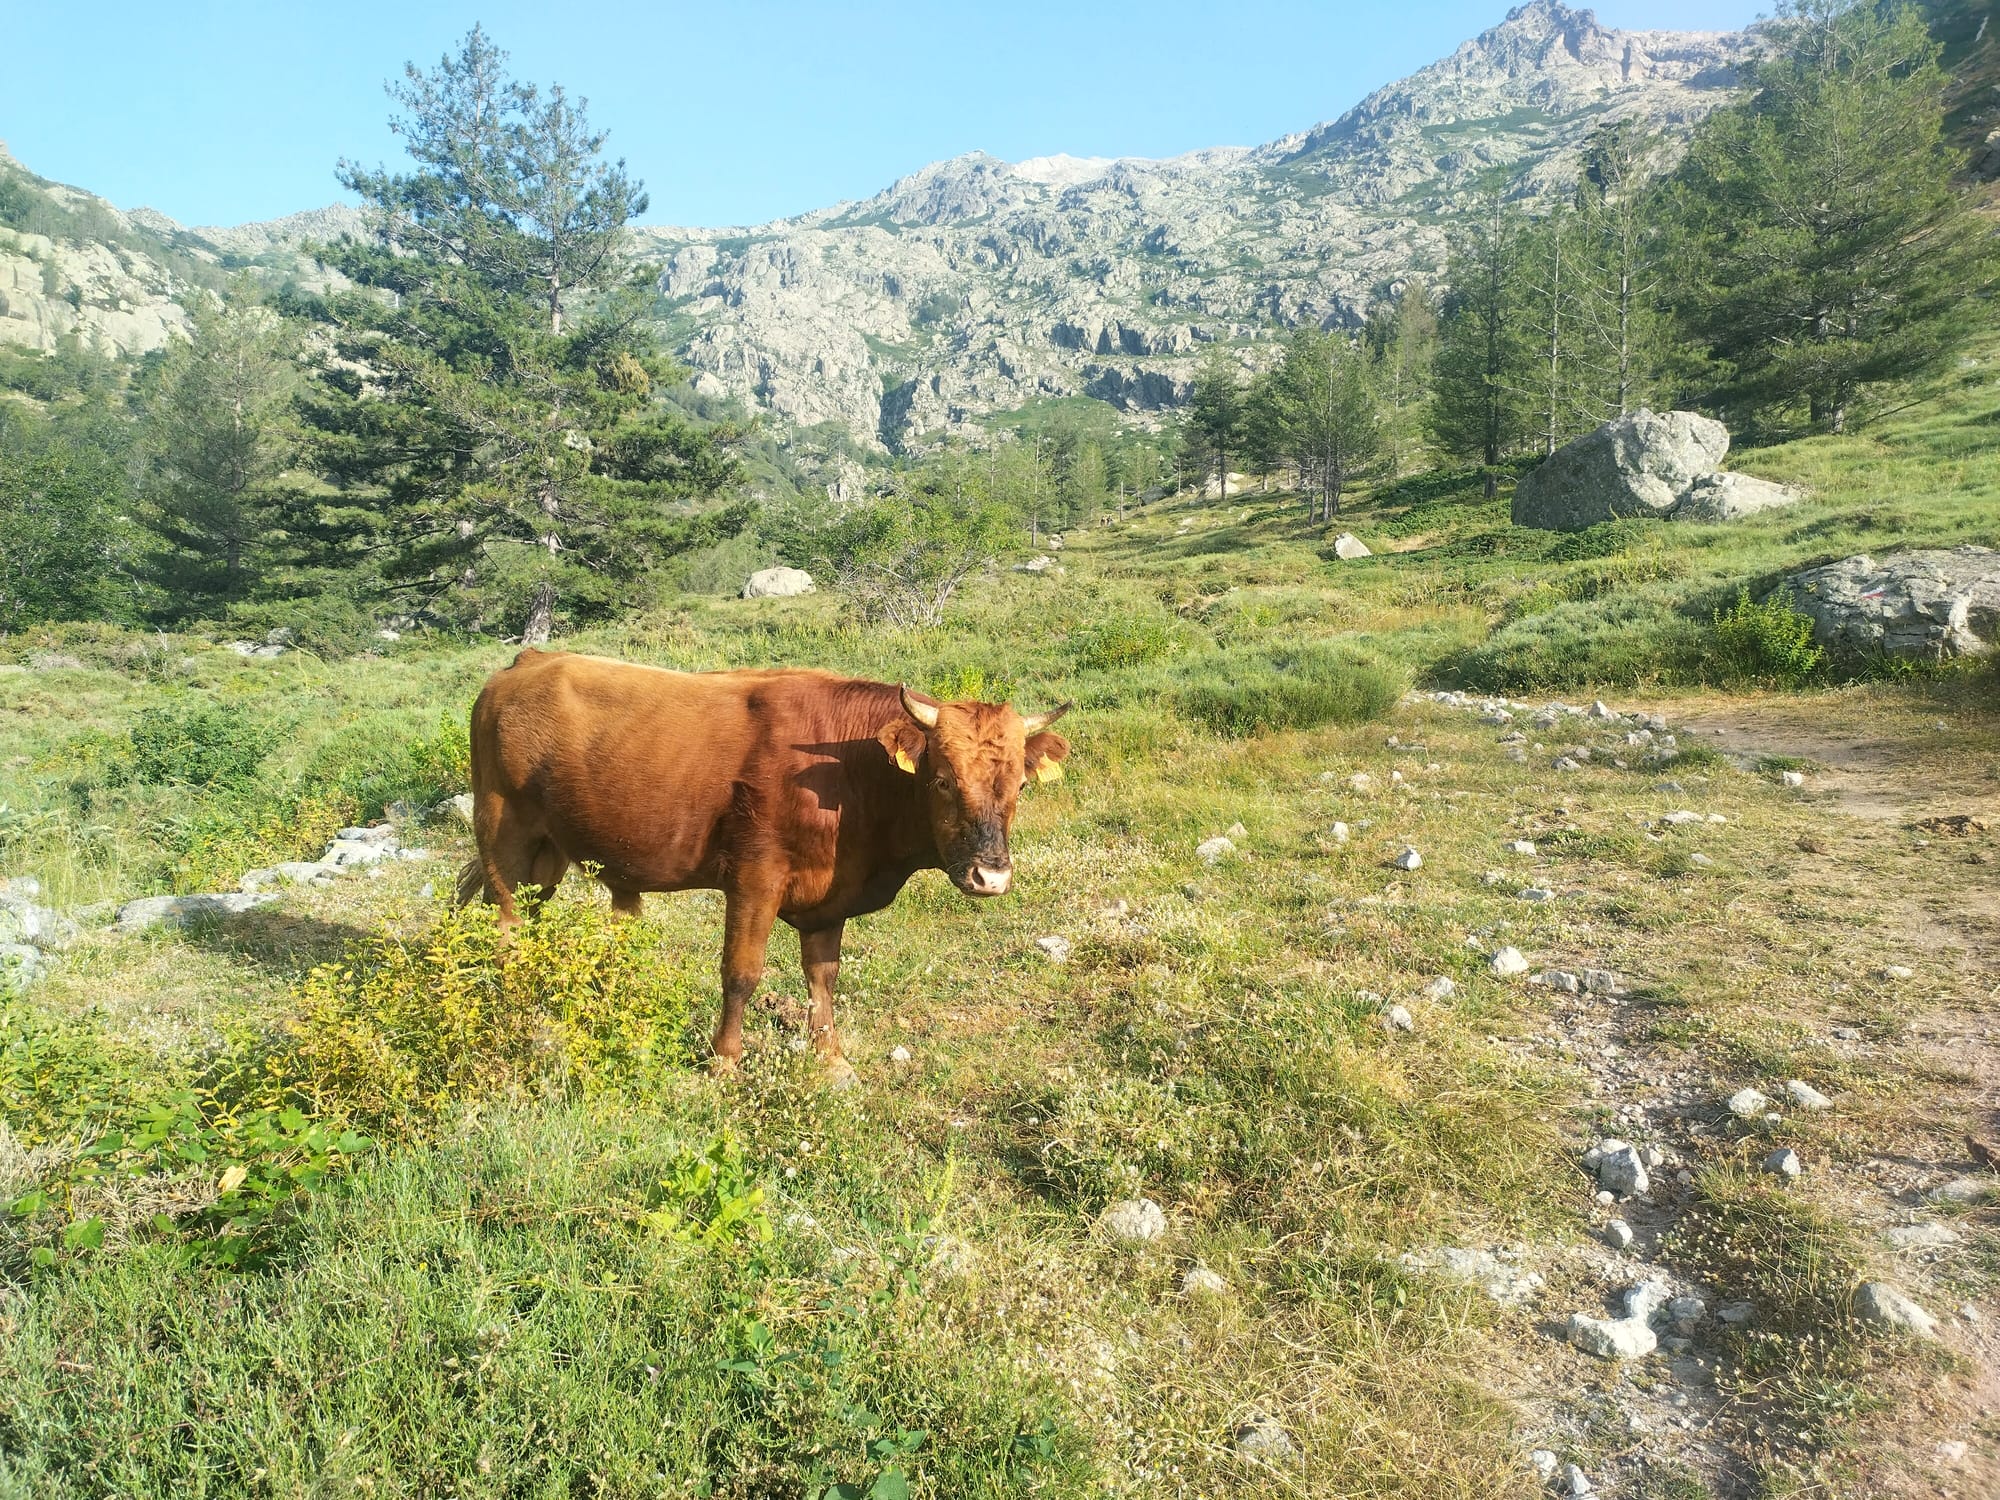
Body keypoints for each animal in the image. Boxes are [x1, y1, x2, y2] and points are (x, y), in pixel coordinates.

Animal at [458, 648, 1072, 1080]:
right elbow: (741, 973)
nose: (991, 877)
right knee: (506, 926)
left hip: (548, 854)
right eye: (943, 780)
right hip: (504, 835)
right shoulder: (755, 877)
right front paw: (724, 1062)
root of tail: (528, 661)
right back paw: (516, 1013)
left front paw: (831, 1059)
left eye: (1019, 785)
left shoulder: (828, 897)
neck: (848, 774)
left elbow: (823, 975)